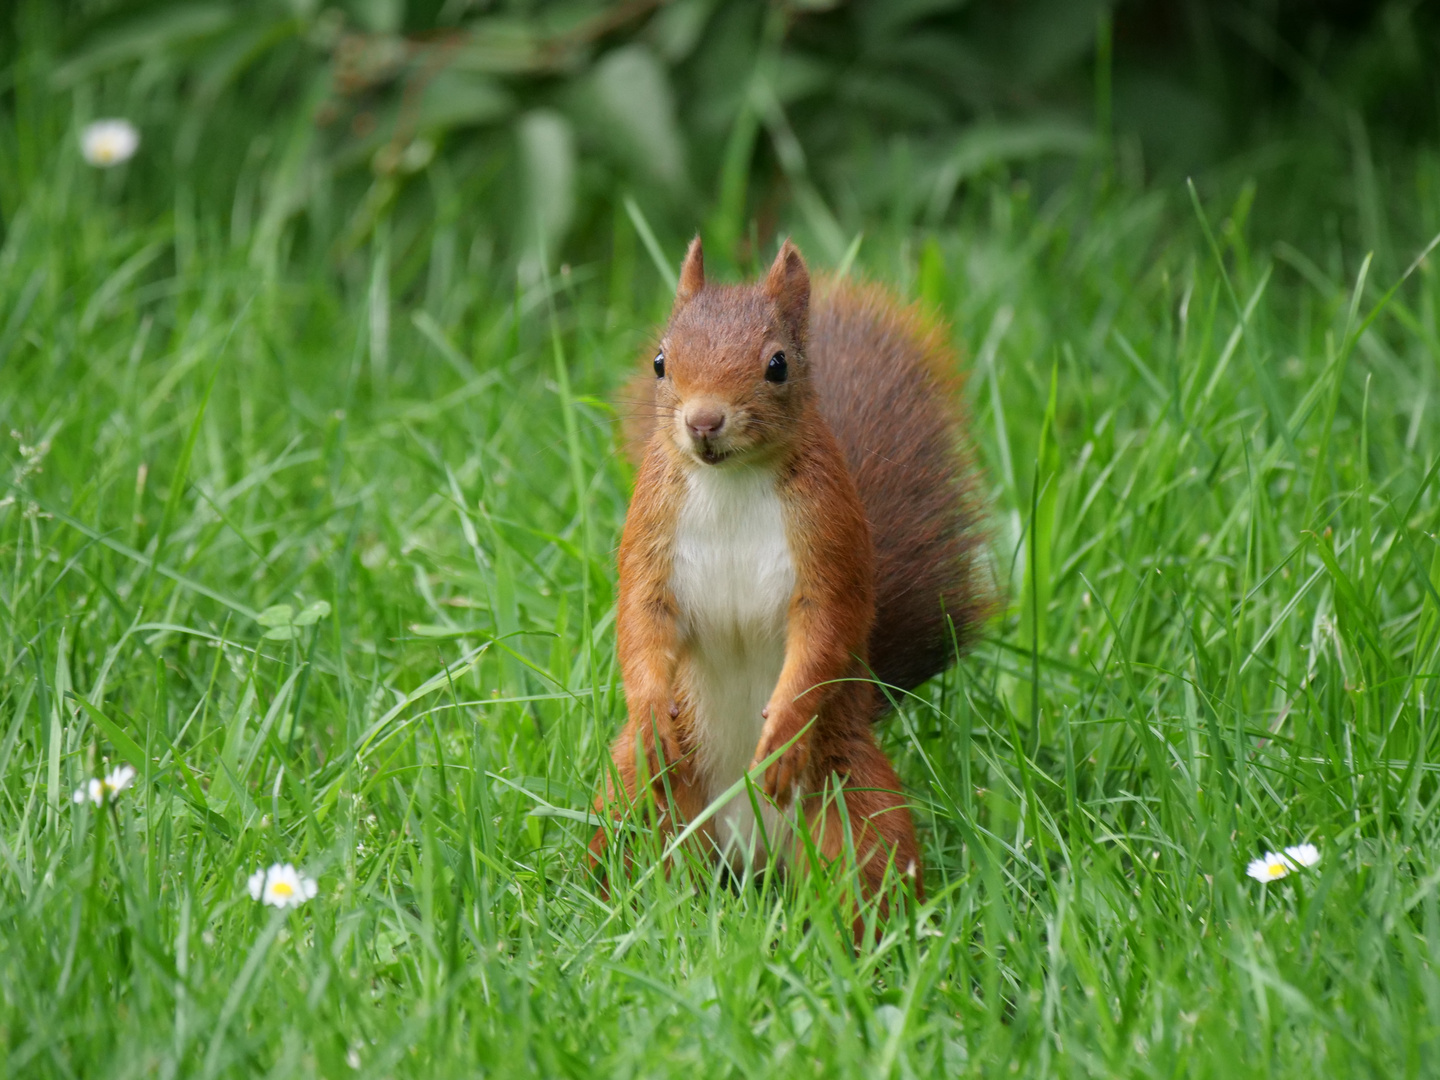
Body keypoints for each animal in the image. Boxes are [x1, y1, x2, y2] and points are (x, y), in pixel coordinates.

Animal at [590, 236, 984, 915]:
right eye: (661, 362)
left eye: (777, 365)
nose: (703, 421)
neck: (730, 480)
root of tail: (749, 861)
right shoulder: (649, 536)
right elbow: (641, 622)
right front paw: (651, 716)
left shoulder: (830, 542)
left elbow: (825, 633)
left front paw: (780, 738)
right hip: (635, 799)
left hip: (854, 804)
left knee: (868, 873)